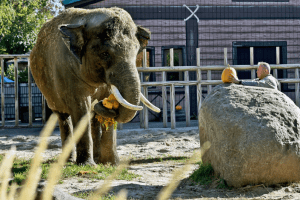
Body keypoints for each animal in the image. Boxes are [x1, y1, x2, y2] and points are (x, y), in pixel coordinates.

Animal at [30, 7, 159, 165]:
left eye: (136, 53)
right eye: (104, 54)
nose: (101, 103)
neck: (87, 18)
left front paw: (111, 163)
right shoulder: (67, 71)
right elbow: (80, 107)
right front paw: (87, 164)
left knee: (92, 117)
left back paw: (97, 159)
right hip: (49, 92)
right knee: (63, 117)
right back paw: (69, 161)